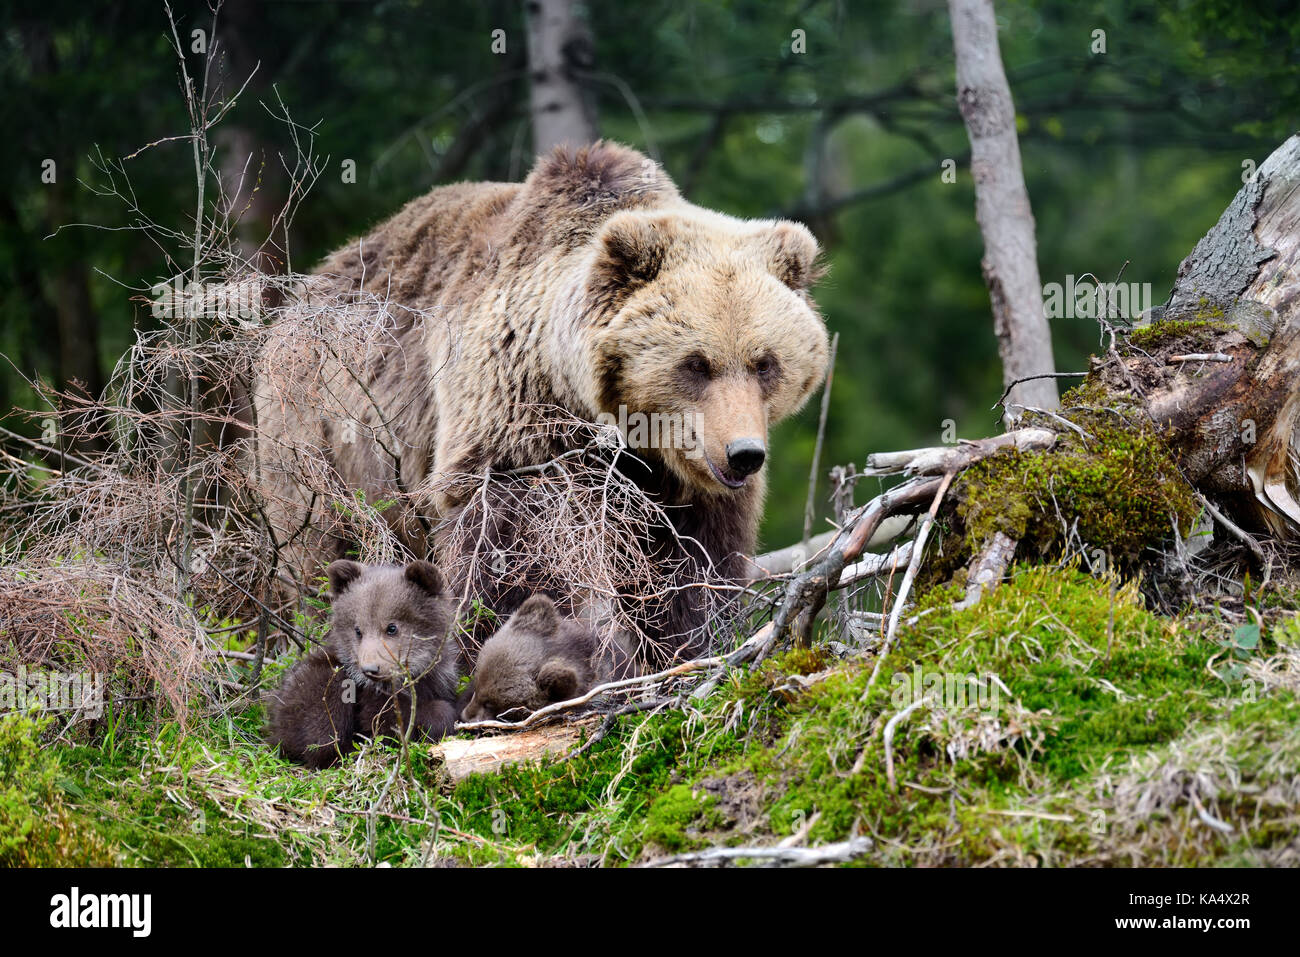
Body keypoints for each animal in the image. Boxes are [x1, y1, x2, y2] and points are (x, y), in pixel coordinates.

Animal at [253, 141, 829, 662]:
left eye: (765, 362)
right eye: (696, 363)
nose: (743, 454)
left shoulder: (681, 484)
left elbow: (693, 563)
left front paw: (683, 648)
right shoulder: (514, 419)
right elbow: (515, 548)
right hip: (320, 436)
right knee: (324, 547)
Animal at [267, 559, 462, 768]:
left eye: (391, 628)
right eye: (358, 630)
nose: (370, 669)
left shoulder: (439, 680)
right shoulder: (370, 700)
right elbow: (385, 722)